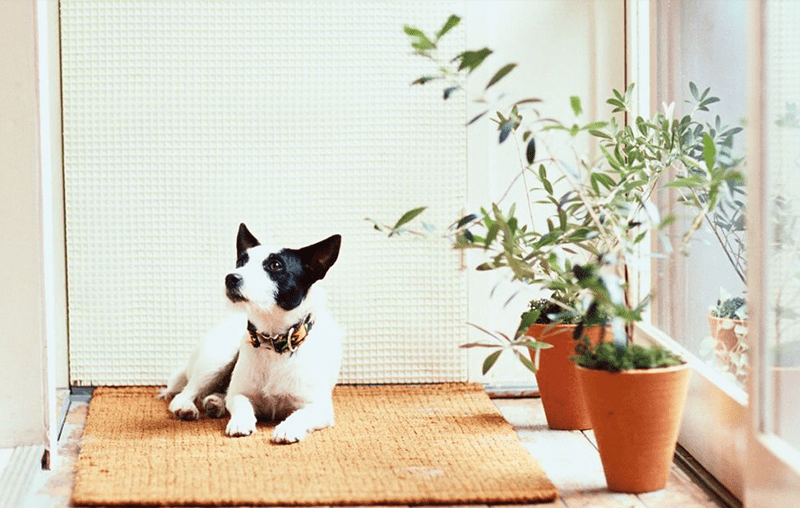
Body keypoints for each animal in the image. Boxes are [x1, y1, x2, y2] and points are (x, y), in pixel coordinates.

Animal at [158, 224, 342, 442]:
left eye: (275, 265)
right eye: (240, 262)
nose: (231, 277)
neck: (274, 342)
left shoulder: (320, 408)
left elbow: (301, 414)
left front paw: (288, 428)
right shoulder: (241, 394)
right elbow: (241, 403)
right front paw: (240, 422)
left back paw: (215, 402)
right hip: (217, 358)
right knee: (186, 393)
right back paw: (188, 407)